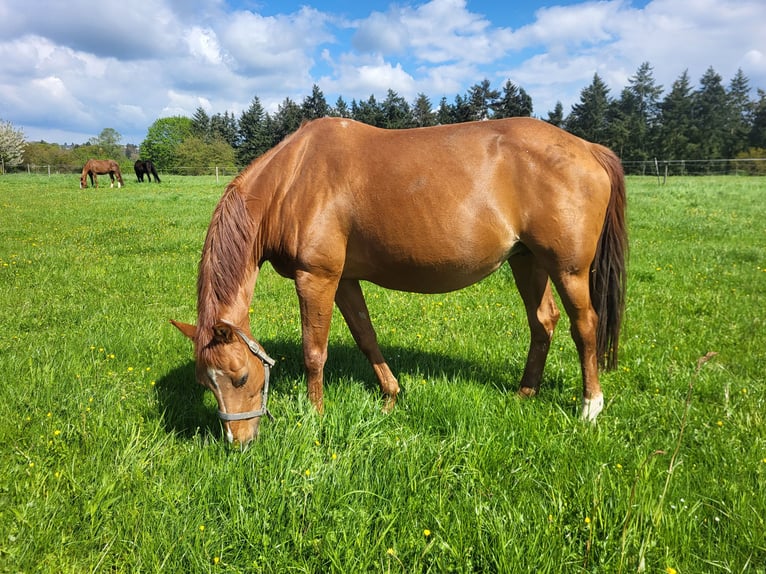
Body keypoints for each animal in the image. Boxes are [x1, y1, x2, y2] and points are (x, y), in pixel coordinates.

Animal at [172, 118, 632, 450]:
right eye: (205, 383)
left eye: (239, 378)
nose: (237, 443)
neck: (292, 179)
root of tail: (588, 148)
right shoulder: (345, 280)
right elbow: (366, 337)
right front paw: (391, 396)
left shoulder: (316, 278)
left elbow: (314, 353)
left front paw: (316, 416)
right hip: (528, 261)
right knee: (543, 322)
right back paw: (525, 392)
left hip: (568, 269)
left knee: (584, 326)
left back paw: (590, 406)